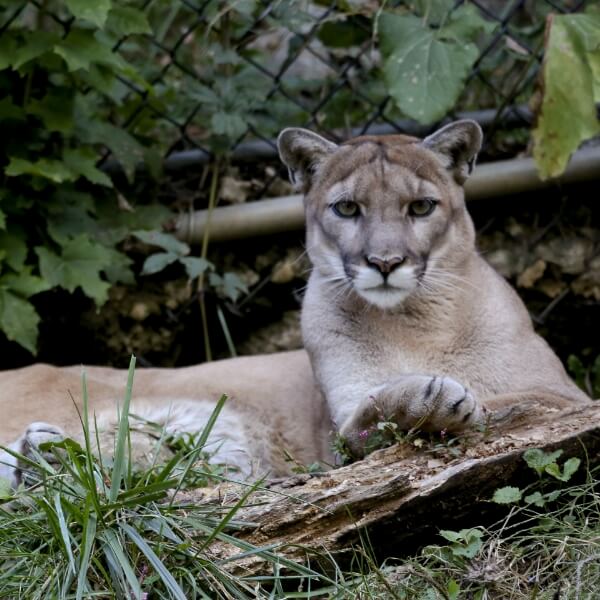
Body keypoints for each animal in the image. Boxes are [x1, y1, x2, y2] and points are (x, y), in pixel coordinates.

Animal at [1, 120, 592, 488]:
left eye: (422, 207)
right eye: (347, 208)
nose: (384, 261)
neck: (413, 321)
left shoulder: (567, 395)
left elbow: (531, 401)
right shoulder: (342, 433)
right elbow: (370, 419)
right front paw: (428, 399)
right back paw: (41, 460)